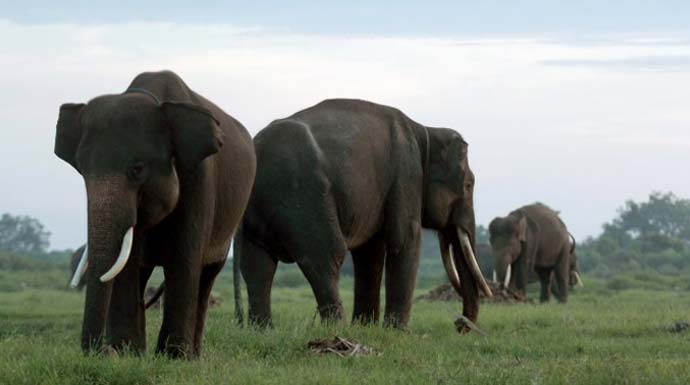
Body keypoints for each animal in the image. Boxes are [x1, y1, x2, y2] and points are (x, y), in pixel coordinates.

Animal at [52, 70, 254, 356]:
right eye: (82, 170)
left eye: (137, 169)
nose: (101, 350)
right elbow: (127, 264)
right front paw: (126, 353)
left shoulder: (199, 176)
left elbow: (184, 257)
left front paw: (173, 356)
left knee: (208, 275)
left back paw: (193, 356)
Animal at [234, 97, 492, 328]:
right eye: (469, 185)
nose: (460, 324)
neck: (425, 131)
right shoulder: (406, 176)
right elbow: (405, 239)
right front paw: (396, 332)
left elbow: (370, 252)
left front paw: (366, 326)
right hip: (303, 197)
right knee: (325, 257)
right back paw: (338, 329)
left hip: (259, 211)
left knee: (257, 266)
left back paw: (263, 330)